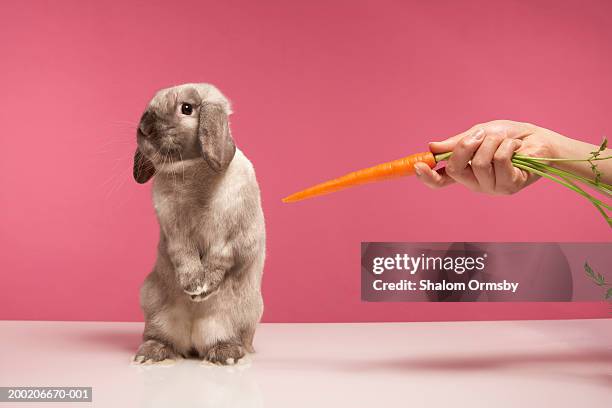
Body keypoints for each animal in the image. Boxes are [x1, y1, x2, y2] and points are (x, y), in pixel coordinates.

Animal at [131, 82, 266, 364]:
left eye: (187, 108)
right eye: (148, 107)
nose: (144, 127)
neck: (191, 171)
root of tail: (193, 342)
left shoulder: (236, 237)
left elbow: (220, 259)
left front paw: (201, 290)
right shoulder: (174, 233)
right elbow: (184, 254)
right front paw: (192, 284)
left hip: (238, 317)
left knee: (225, 339)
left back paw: (226, 354)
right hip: (154, 308)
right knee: (162, 338)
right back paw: (151, 353)